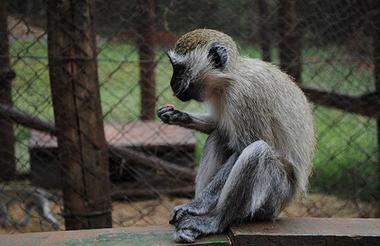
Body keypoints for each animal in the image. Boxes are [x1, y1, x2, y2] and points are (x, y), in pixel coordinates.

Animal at [157, 29, 314, 242]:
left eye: (179, 69)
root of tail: (283, 206)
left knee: (256, 151)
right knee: (218, 137)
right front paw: (177, 115)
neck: (228, 78)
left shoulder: (245, 97)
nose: (172, 83)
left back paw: (214, 221)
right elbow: (217, 126)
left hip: (274, 198)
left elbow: (242, 149)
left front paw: (195, 206)